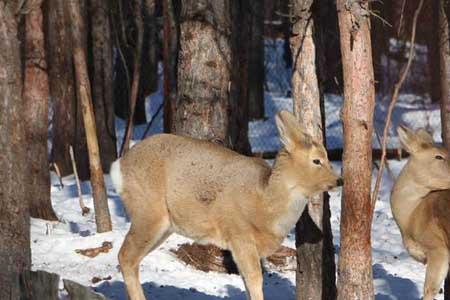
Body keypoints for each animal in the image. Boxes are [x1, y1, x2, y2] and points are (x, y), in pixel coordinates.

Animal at [111, 110, 342, 300]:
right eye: (317, 160)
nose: (339, 180)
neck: (266, 206)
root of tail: (118, 166)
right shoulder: (239, 234)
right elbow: (255, 280)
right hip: (148, 212)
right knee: (125, 256)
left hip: (164, 226)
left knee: (131, 259)